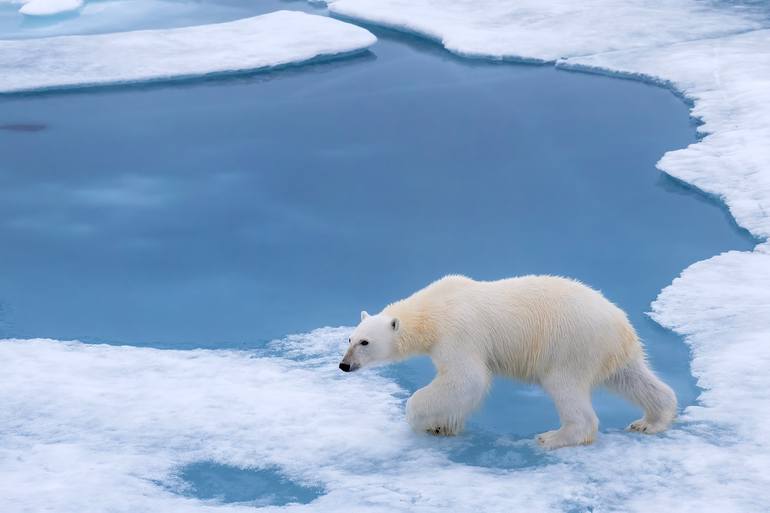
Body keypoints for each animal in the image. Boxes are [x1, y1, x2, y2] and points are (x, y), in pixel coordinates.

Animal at [340, 274, 676, 446]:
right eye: (349, 339)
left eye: (365, 342)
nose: (344, 365)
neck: (431, 310)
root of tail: (621, 325)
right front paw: (443, 425)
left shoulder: (458, 332)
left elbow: (467, 380)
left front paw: (423, 421)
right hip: (612, 353)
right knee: (633, 379)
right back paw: (650, 421)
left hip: (571, 345)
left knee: (565, 387)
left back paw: (554, 437)